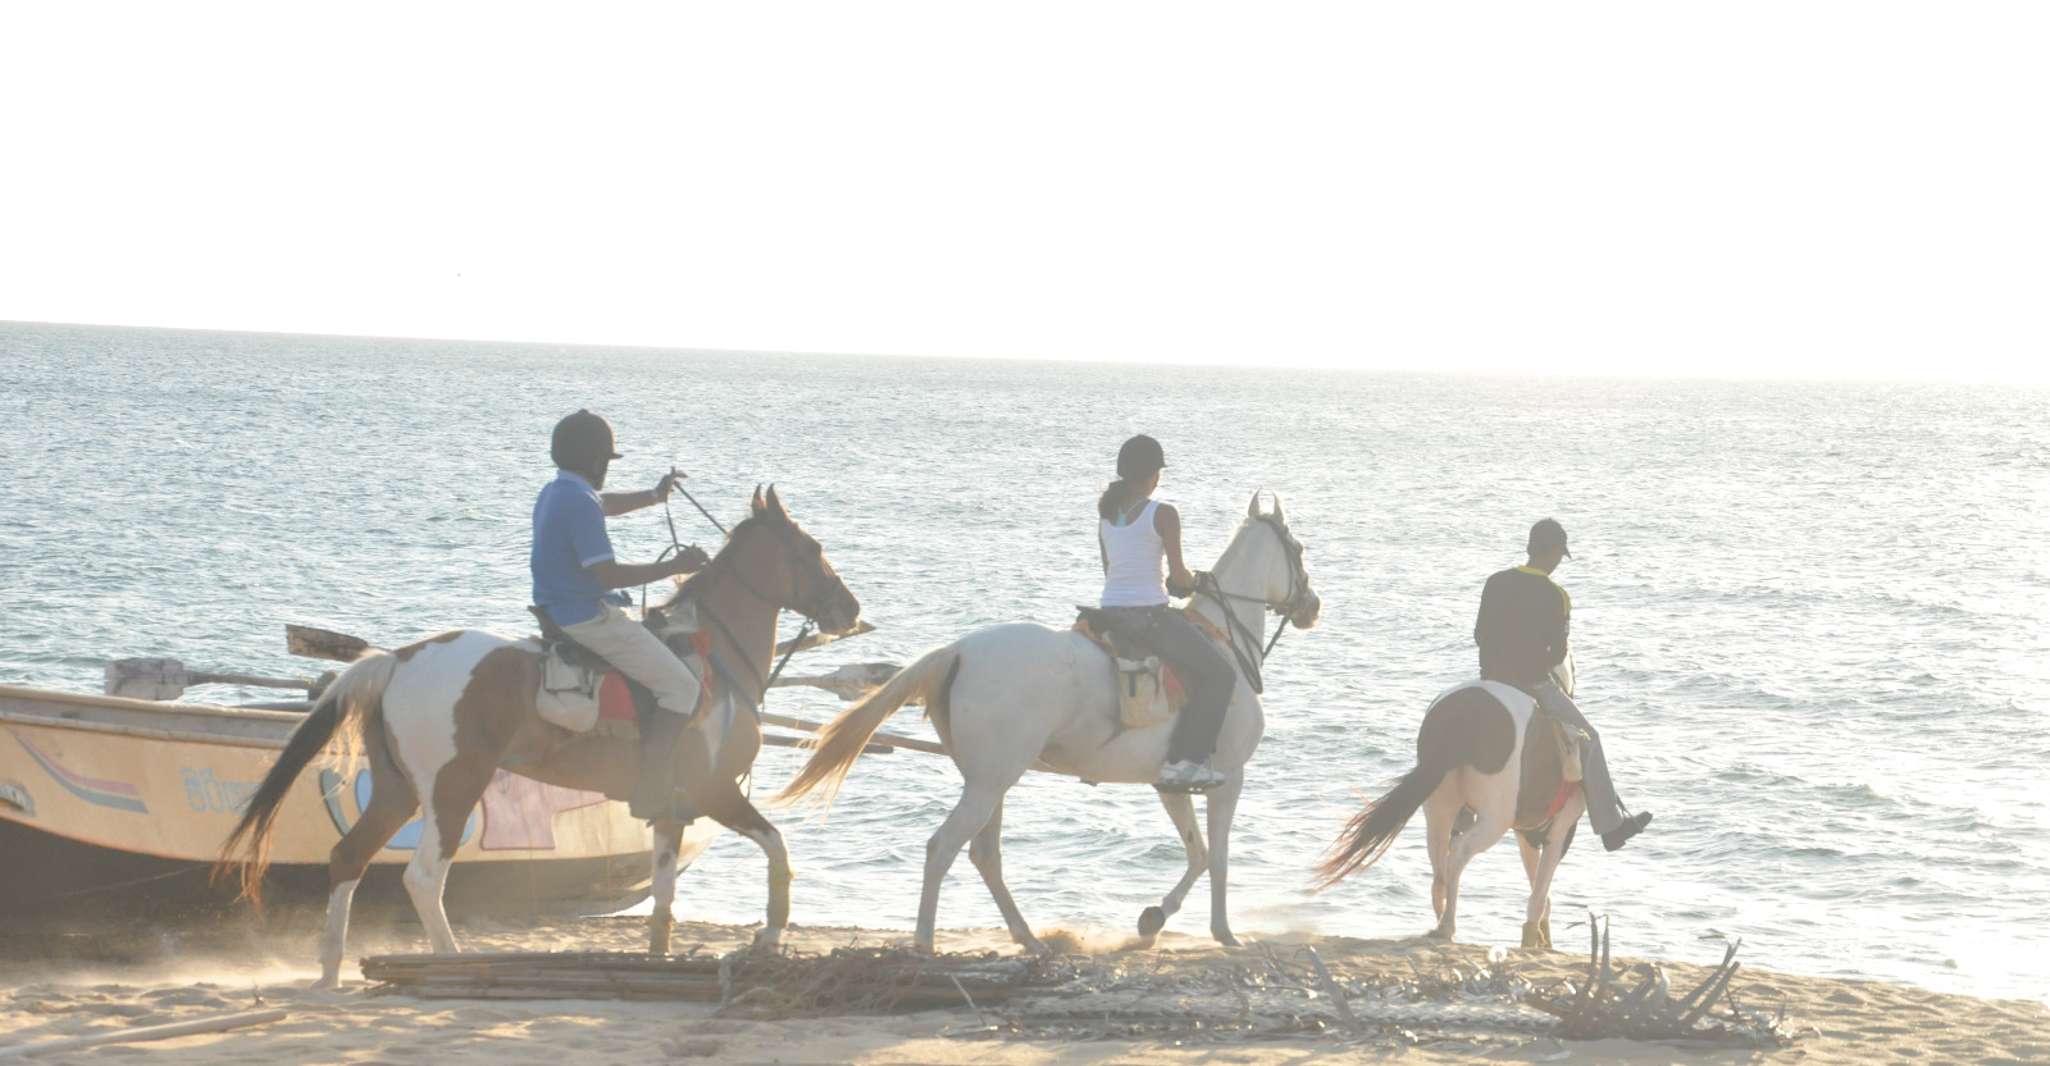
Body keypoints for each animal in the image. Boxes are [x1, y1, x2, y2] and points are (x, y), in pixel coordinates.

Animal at [208, 487, 848, 988]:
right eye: (813, 550)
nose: (851, 607)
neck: (712, 658)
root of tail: (399, 659)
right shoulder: (714, 790)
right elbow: (777, 848)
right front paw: (770, 933)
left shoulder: (671, 810)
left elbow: (664, 897)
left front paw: (660, 958)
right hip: (454, 788)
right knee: (423, 877)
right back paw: (446, 964)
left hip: (397, 789)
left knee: (348, 858)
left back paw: (329, 970)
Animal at [774, 496, 1320, 955]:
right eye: (1298, 548)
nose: (1312, 606)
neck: (1224, 640)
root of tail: (958, 651)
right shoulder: (1229, 777)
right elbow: (1220, 856)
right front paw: (1224, 932)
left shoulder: (1169, 784)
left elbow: (1198, 853)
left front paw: (1152, 919)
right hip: (991, 781)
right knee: (944, 847)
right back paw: (927, 941)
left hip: (988, 779)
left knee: (984, 855)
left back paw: (1028, 937)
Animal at [1312, 656, 1582, 951]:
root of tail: (1459, 712)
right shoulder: (1559, 832)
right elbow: (1540, 892)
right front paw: (1535, 939)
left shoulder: (1527, 835)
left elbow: (1537, 885)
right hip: (1493, 820)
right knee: (1459, 854)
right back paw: (1448, 926)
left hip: (1439, 807)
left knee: (1440, 866)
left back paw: (1441, 924)